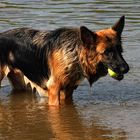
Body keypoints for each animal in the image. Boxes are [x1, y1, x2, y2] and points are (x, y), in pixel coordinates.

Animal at [0, 15, 129, 105]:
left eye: (120, 50)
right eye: (107, 52)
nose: (126, 69)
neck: (76, 54)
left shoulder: (68, 92)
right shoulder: (54, 91)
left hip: (21, 85)